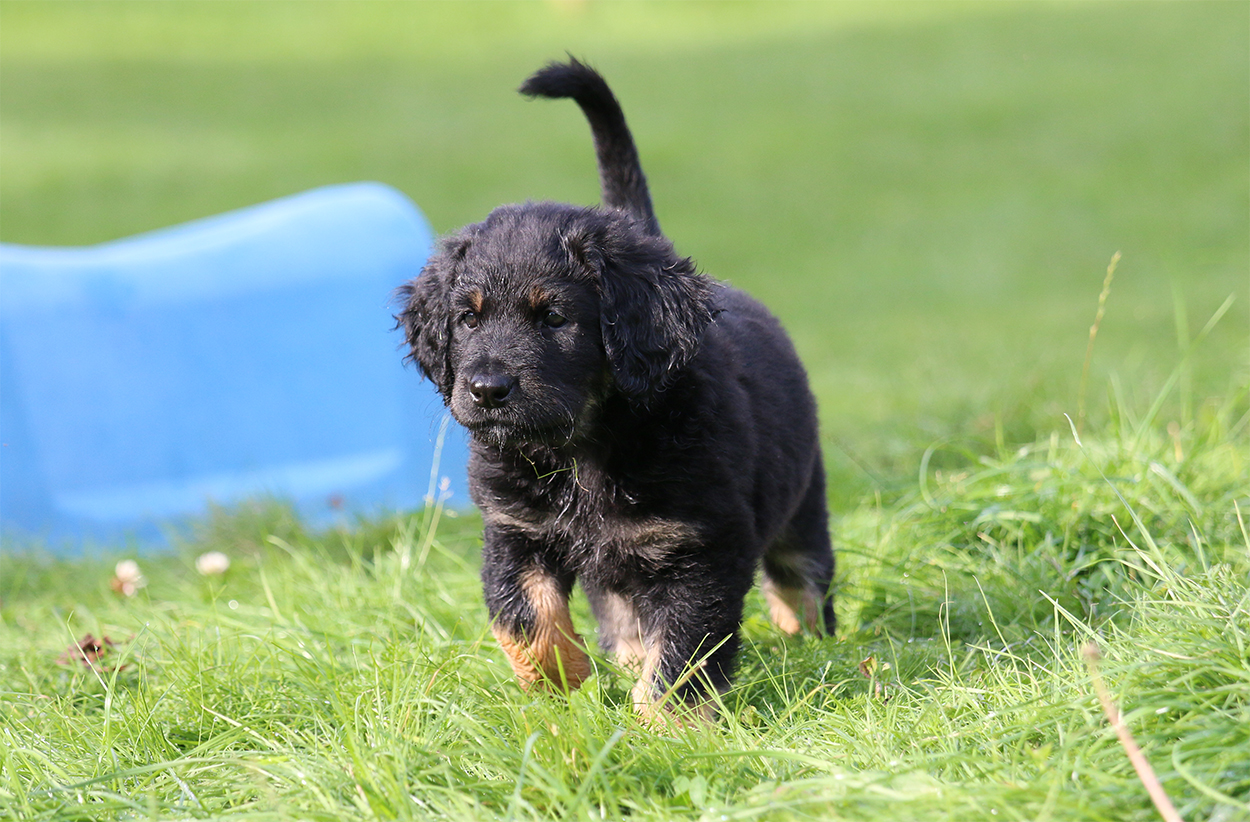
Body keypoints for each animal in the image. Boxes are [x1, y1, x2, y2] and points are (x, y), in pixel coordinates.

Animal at [397, 58, 835, 720]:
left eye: (555, 318)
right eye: (467, 319)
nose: (485, 388)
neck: (584, 447)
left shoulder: (701, 546)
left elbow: (682, 649)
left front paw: (664, 727)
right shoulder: (514, 532)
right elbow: (523, 616)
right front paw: (564, 690)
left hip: (801, 503)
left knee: (800, 579)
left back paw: (805, 643)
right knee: (622, 609)